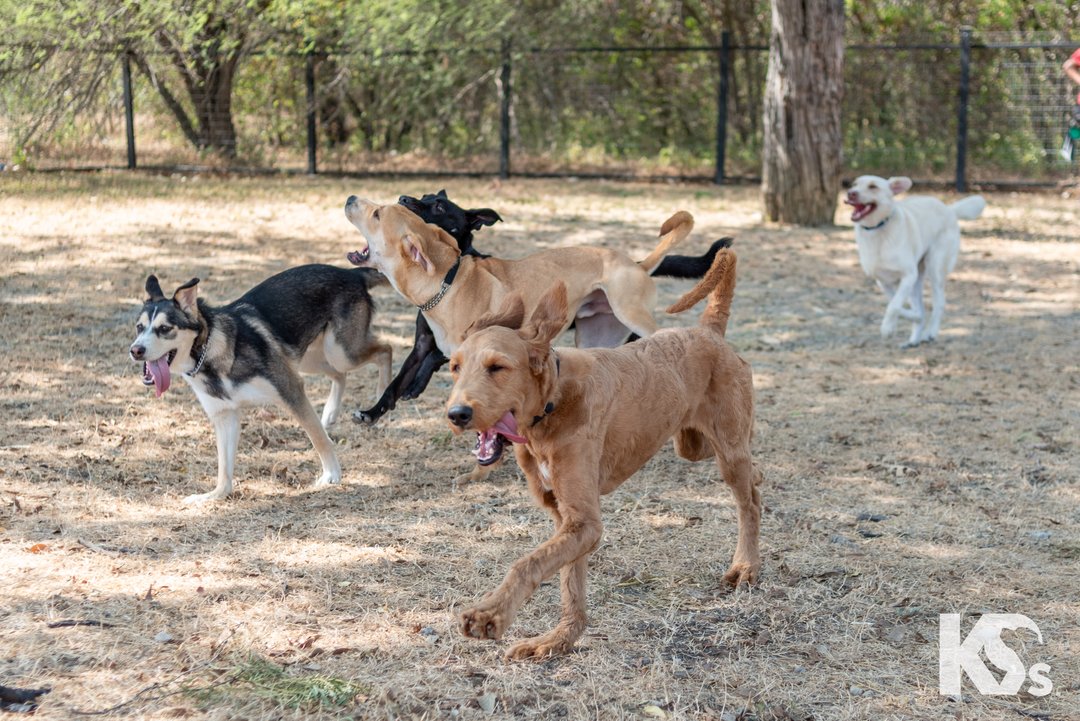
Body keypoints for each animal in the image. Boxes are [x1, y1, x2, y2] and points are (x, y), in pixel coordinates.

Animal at [129, 264, 393, 507]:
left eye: (165, 329)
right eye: (139, 327)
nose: (135, 350)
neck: (211, 350)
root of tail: (351, 273)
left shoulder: (291, 390)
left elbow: (318, 438)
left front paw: (331, 475)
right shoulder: (225, 417)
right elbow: (224, 468)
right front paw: (214, 495)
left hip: (341, 351)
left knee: (385, 349)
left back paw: (382, 395)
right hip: (311, 358)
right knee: (340, 375)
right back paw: (330, 413)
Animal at [438, 248, 760, 660]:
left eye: (498, 367)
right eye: (455, 367)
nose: (457, 414)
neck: (552, 404)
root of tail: (708, 330)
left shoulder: (585, 521)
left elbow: (526, 564)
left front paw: (490, 614)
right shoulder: (567, 519)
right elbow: (568, 581)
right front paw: (559, 639)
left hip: (726, 449)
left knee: (748, 501)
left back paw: (746, 566)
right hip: (692, 444)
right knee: (753, 477)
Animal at [842, 172, 989, 345]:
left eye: (873, 186)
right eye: (854, 184)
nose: (850, 193)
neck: (878, 229)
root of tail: (948, 209)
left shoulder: (908, 276)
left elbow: (894, 306)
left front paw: (887, 329)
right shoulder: (883, 281)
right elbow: (896, 304)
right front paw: (916, 317)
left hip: (935, 269)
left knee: (939, 303)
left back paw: (931, 333)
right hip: (916, 281)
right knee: (920, 305)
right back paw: (913, 339)